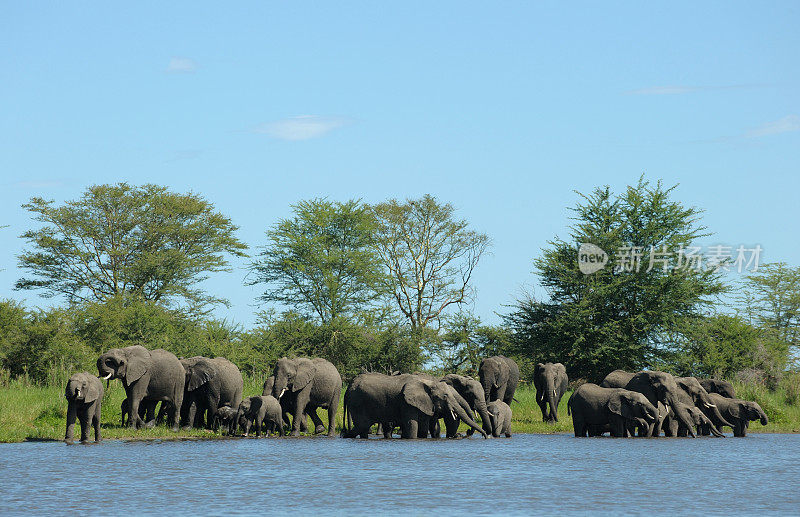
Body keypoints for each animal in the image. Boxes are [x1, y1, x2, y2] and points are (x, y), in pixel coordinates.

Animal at [340, 370, 488, 440]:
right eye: (445, 396)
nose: (466, 433)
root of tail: (347, 389)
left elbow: (426, 425)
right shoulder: (407, 403)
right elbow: (413, 425)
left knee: (363, 428)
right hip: (358, 402)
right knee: (363, 425)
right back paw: (343, 435)